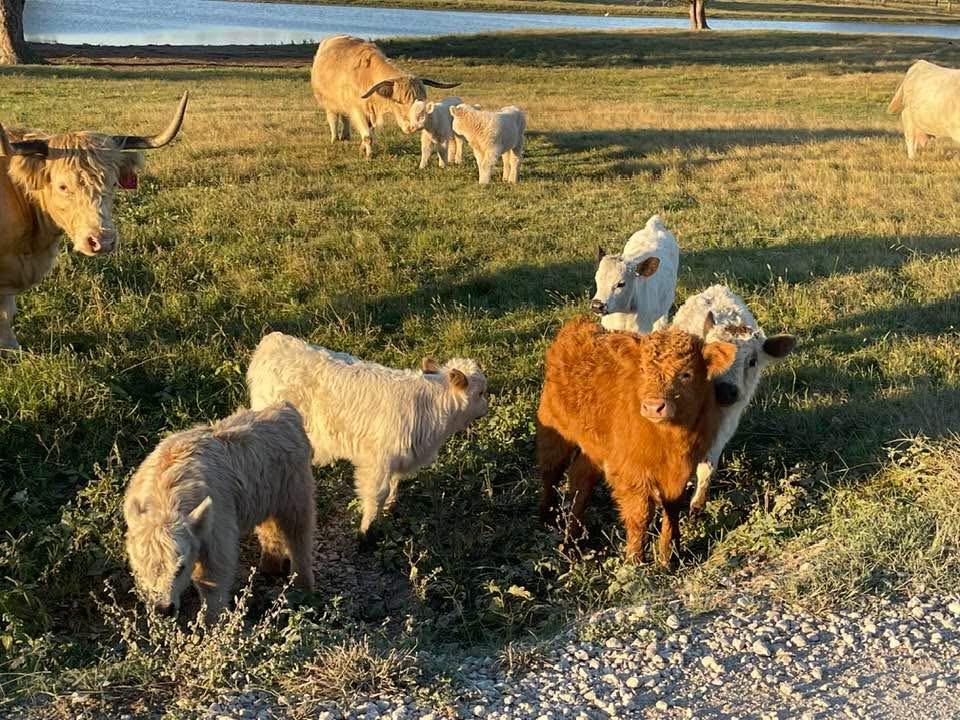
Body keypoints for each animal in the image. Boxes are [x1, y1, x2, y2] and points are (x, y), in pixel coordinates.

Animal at [310, 35, 459, 159]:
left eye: (420, 101)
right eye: (399, 102)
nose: (412, 127)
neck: (366, 77)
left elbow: (369, 131)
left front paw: (362, 149)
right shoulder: (357, 110)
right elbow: (367, 135)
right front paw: (368, 155)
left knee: (345, 118)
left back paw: (345, 136)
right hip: (329, 102)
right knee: (333, 118)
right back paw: (335, 138)